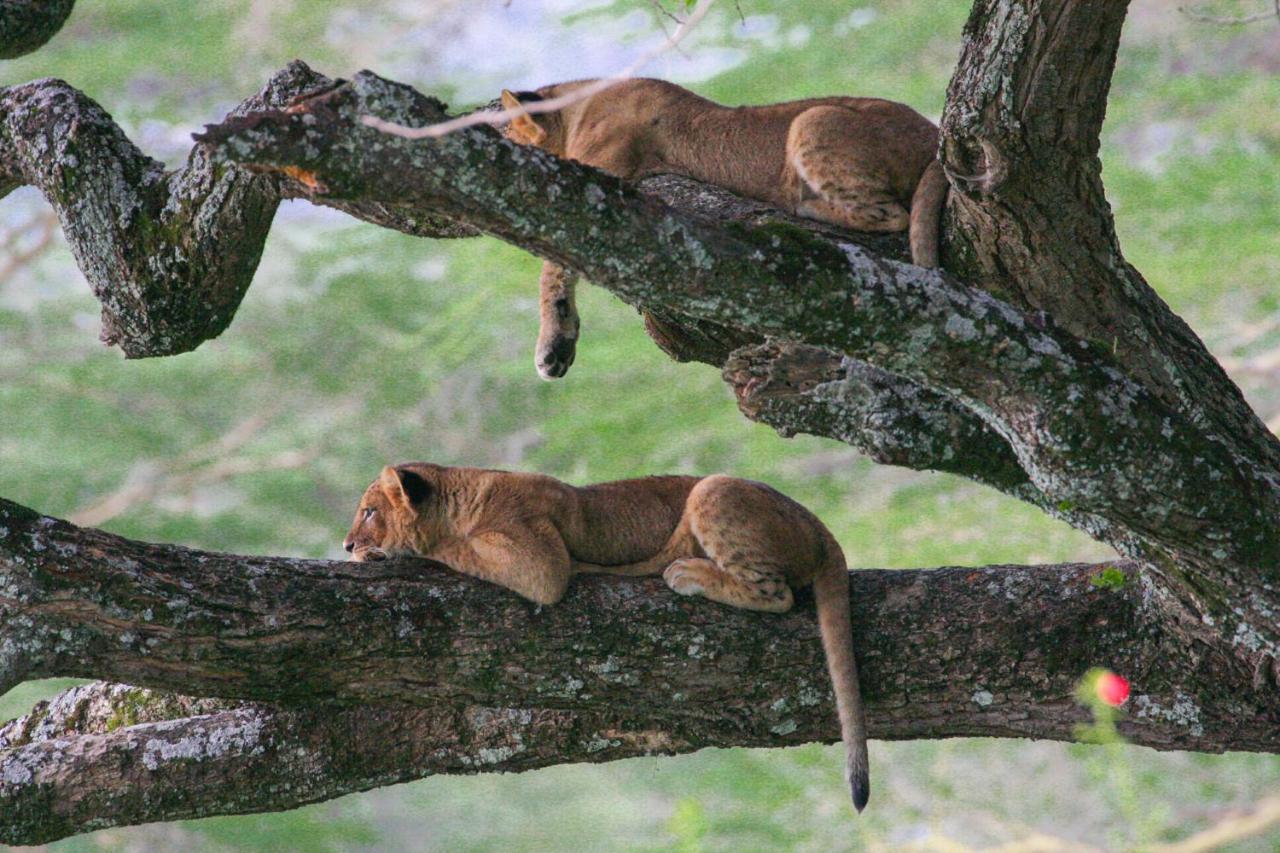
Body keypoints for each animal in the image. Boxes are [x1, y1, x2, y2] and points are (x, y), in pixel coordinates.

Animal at [345, 461, 875, 809]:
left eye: (369, 512)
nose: (347, 544)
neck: (467, 491)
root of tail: (819, 526)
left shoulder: (543, 563)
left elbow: (451, 549)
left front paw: (390, 551)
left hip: (714, 489)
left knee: (776, 594)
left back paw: (688, 573)